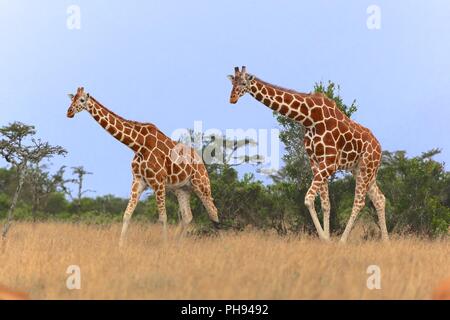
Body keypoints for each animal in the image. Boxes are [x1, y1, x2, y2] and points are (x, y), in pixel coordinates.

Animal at [67, 86, 220, 244]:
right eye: (72, 99)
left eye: (82, 100)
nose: (69, 112)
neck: (139, 146)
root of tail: (200, 160)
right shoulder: (138, 181)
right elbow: (127, 214)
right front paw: (120, 245)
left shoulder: (158, 182)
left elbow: (162, 218)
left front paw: (164, 245)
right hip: (182, 189)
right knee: (187, 216)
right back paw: (177, 244)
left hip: (201, 183)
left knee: (213, 211)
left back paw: (218, 242)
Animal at [227, 67, 388, 242]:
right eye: (232, 82)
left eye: (244, 83)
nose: (232, 98)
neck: (310, 118)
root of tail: (379, 147)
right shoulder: (315, 161)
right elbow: (325, 204)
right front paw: (326, 238)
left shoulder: (330, 162)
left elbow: (309, 199)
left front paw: (325, 239)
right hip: (361, 170)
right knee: (380, 199)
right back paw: (385, 241)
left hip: (366, 167)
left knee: (359, 203)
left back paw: (342, 241)